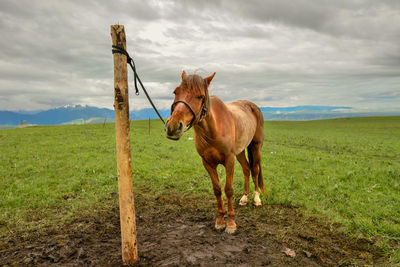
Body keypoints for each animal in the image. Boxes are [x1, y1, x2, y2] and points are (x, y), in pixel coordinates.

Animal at [164, 71, 268, 234]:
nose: (173, 126)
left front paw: (231, 223)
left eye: (200, 96)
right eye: (175, 92)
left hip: (255, 147)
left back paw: (257, 199)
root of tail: (253, 106)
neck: (213, 129)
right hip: (240, 151)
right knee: (246, 169)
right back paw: (245, 198)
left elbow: (228, 190)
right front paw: (220, 220)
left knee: (255, 170)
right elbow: (217, 190)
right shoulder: (207, 162)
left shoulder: (229, 160)